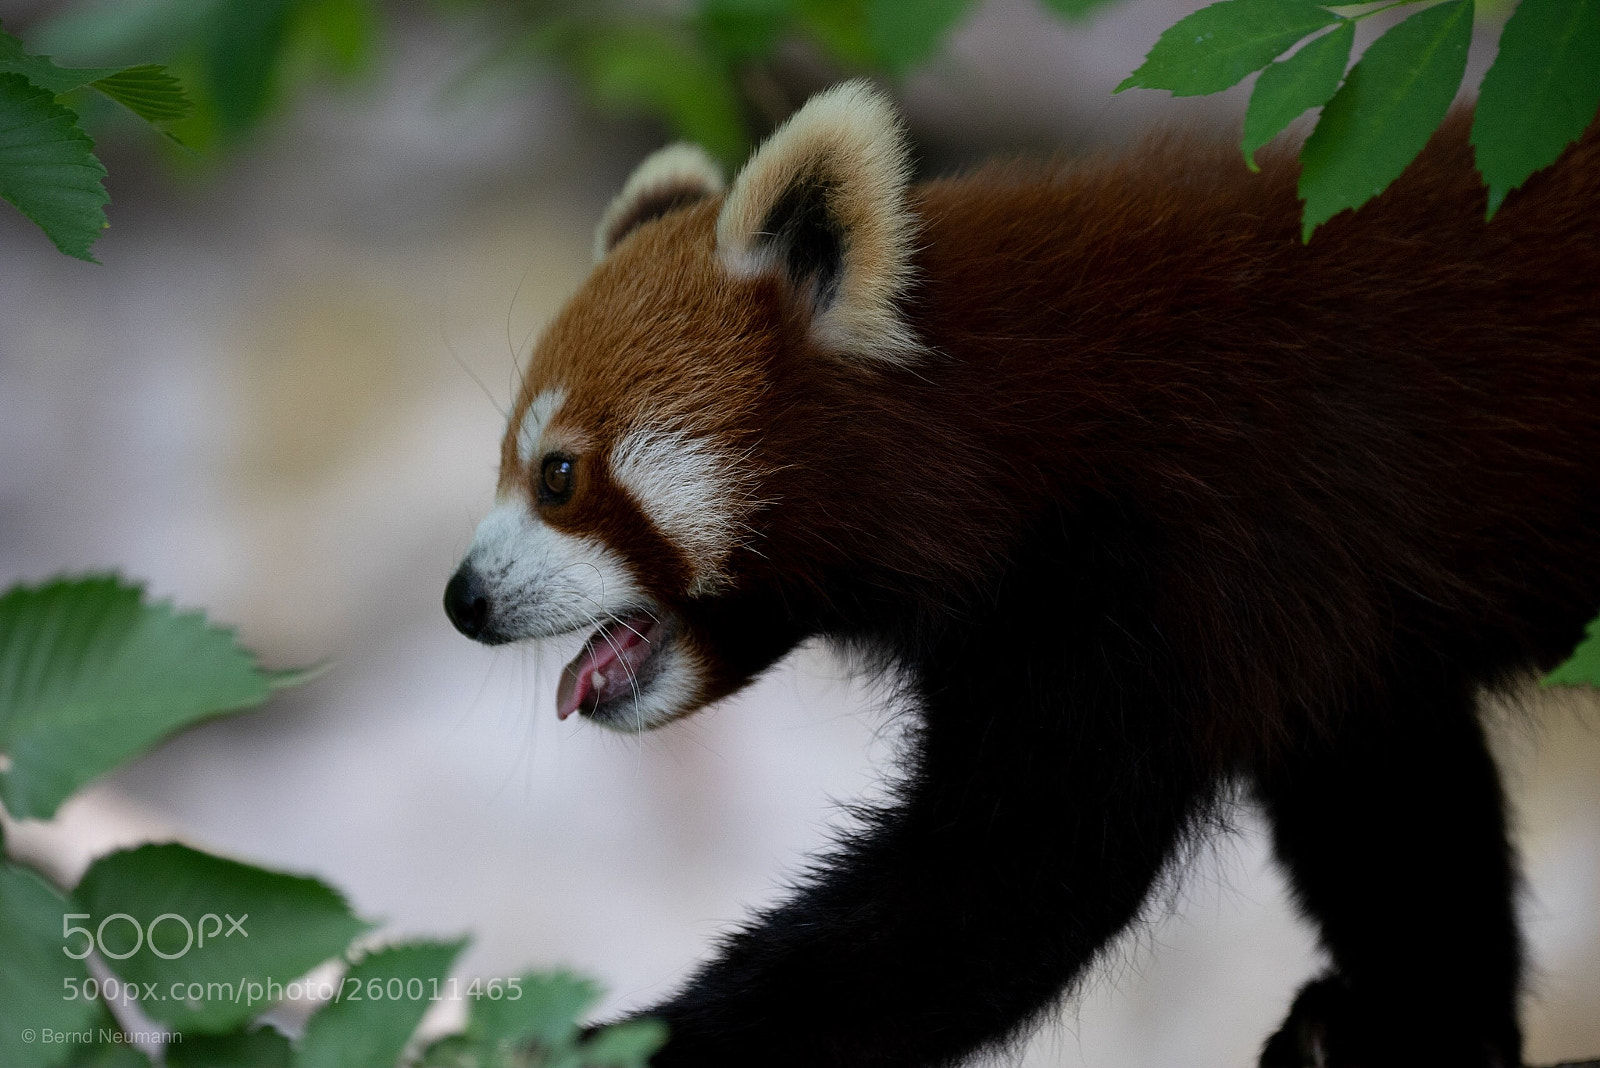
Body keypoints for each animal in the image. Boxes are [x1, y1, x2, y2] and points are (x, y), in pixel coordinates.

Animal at [444, 81, 1600, 1067]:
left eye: (557, 476)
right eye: (510, 465)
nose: (463, 600)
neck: (1010, 428)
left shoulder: (1159, 564)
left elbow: (991, 897)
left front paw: (609, 1043)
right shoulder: (1330, 623)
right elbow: (1398, 821)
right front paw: (1421, 1024)